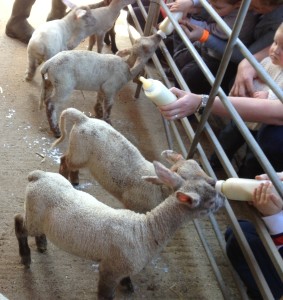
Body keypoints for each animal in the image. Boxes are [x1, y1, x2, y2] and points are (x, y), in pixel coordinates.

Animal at [15, 164, 225, 300]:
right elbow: (105, 295)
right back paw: (26, 257)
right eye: (211, 202)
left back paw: (42, 244)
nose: (223, 200)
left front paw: (128, 285)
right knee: (19, 223)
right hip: (33, 213)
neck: (146, 230)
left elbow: (125, 279)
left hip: (38, 216)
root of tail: (38, 175)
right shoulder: (109, 269)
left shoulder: (120, 266)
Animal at [51, 108, 215, 213]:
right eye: (188, 180)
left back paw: (75, 181)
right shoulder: (135, 206)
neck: (160, 190)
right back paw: (63, 177)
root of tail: (83, 119)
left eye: (199, 166)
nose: (213, 181)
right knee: (65, 160)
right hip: (79, 152)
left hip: (79, 152)